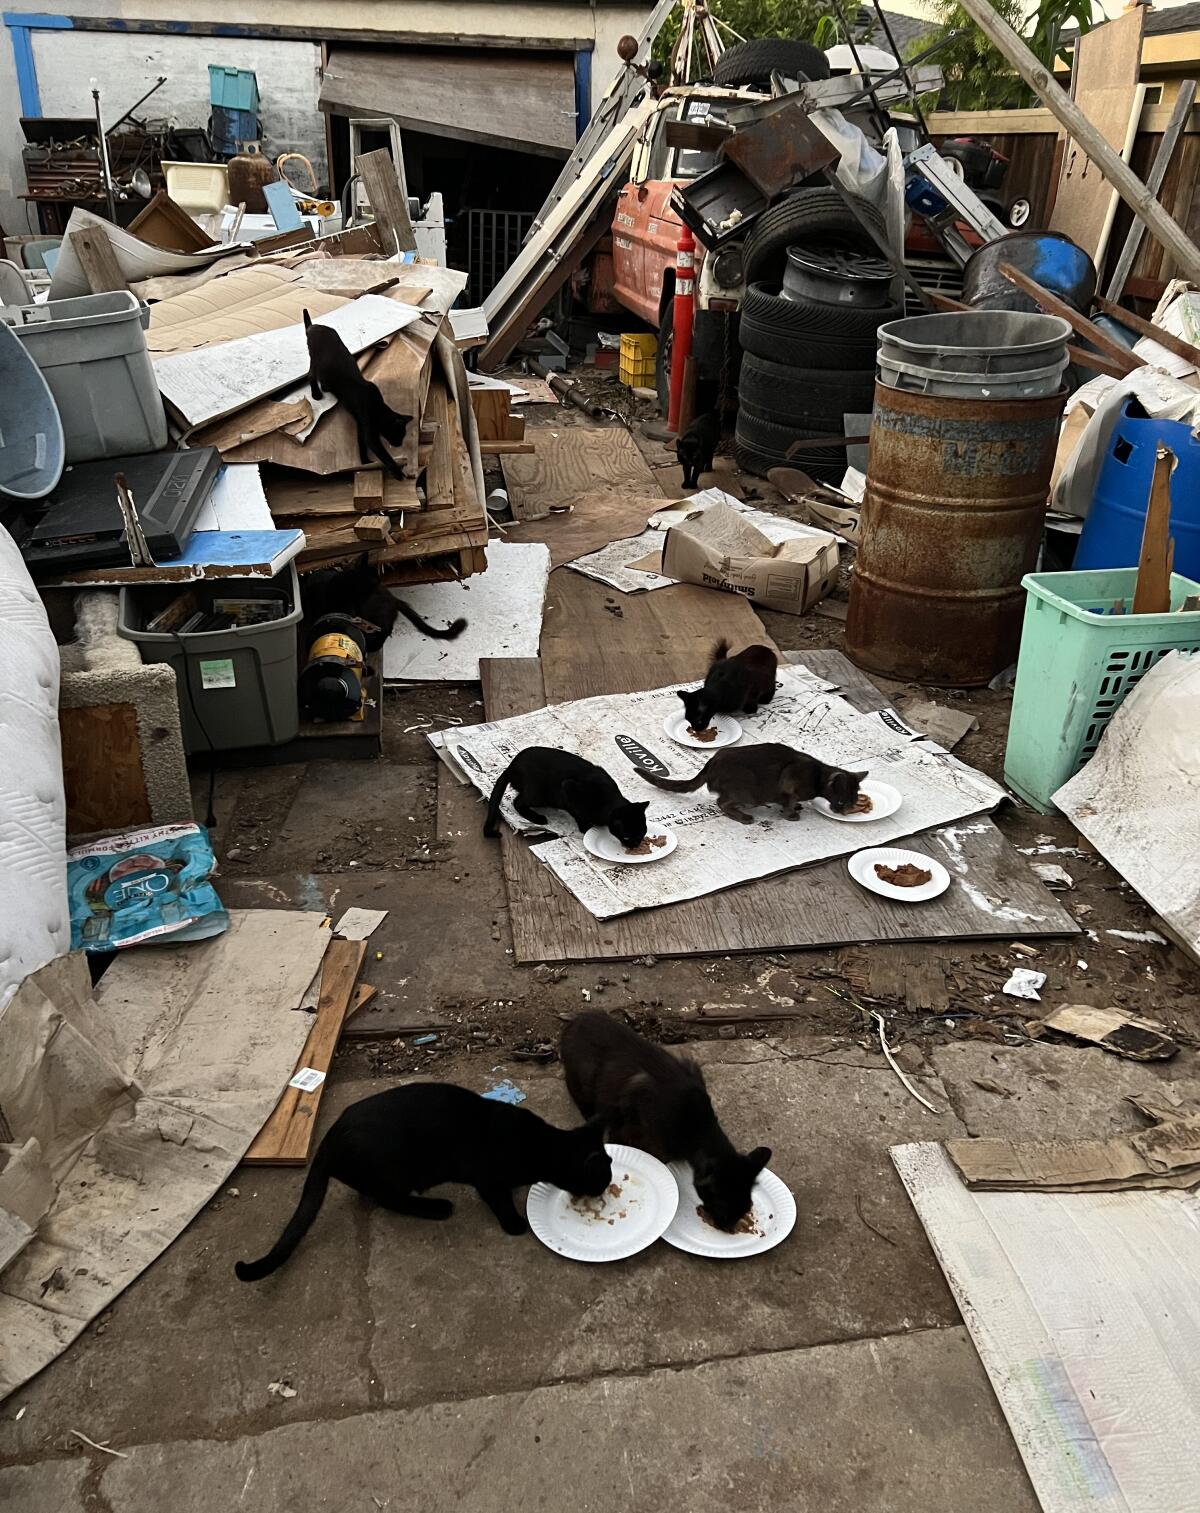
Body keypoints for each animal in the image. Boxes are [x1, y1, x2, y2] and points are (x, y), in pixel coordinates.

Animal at [236, 1083, 608, 1283]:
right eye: (604, 1176)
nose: (607, 1185)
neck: (539, 1146)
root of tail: (331, 1135)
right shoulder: (487, 1179)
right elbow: (500, 1201)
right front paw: (515, 1224)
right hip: (393, 1171)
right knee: (389, 1198)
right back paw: (436, 1207)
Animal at [302, 313, 408, 484]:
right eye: (398, 435)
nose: (399, 444)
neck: (378, 407)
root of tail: (314, 326)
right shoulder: (369, 431)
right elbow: (383, 454)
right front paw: (397, 472)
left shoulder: (361, 425)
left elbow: (361, 443)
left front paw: (365, 462)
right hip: (315, 361)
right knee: (310, 375)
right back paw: (317, 394)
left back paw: (326, 388)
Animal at [481, 747, 644, 853]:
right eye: (627, 836)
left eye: (642, 833)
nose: (635, 845)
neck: (609, 799)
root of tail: (510, 767)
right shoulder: (568, 789)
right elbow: (577, 814)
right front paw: (586, 828)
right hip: (539, 794)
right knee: (517, 802)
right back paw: (538, 818)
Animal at [644, 738, 859, 823]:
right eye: (841, 801)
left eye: (853, 802)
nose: (843, 812)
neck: (817, 776)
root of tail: (711, 763)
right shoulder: (789, 779)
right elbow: (789, 800)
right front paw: (791, 814)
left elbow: (789, 801)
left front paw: (795, 807)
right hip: (748, 793)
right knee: (721, 802)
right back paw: (743, 817)